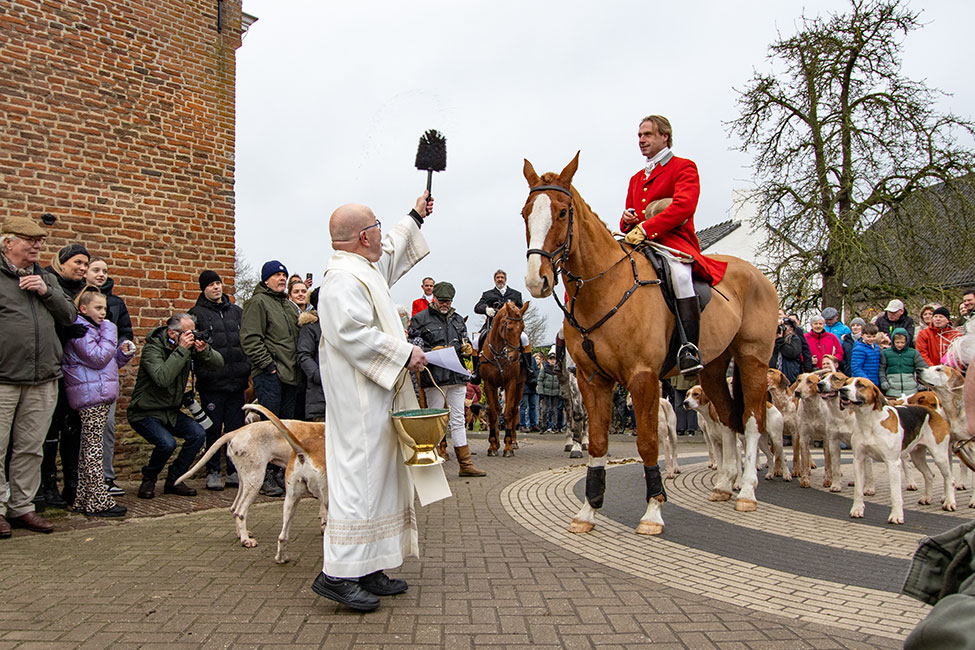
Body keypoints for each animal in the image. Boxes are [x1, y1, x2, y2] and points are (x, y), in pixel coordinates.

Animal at [478, 300, 528, 456]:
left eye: (522, 328)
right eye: (510, 328)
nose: (515, 357)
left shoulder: (510, 383)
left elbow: (507, 414)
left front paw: (508, 447)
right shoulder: (489, 384)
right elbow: (494, 414)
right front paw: (493, 446)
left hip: (520, 386)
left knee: (514, 410)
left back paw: (514, 441)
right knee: (498, 410)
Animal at [520, 154, 776, 536]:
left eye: (563, 212)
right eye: (525, 213)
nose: (537, 280)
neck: (606, 286)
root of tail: (758, 274)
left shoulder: (643, 379)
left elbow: (647, 442)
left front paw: (654, 510)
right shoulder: (592, 379)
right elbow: (598, 441)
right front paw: (588, 510)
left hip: (752, 360)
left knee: (751, 420)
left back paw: (745, 489)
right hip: (714, 368)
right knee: (729, 418)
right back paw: (724, 483)